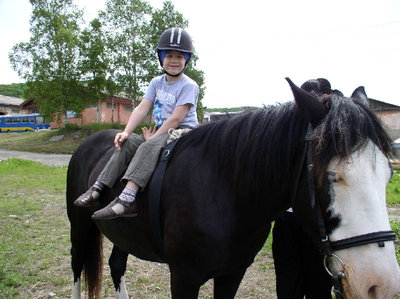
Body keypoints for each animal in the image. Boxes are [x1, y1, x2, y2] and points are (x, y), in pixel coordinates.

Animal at [67, 78, 400, 298]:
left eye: (387, 176)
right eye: (332, 176)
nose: (379, 285)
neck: (225, 190)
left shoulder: (233, 273)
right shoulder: (183, 277)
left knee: (116, 266)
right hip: (80, 225)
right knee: (77, 266)